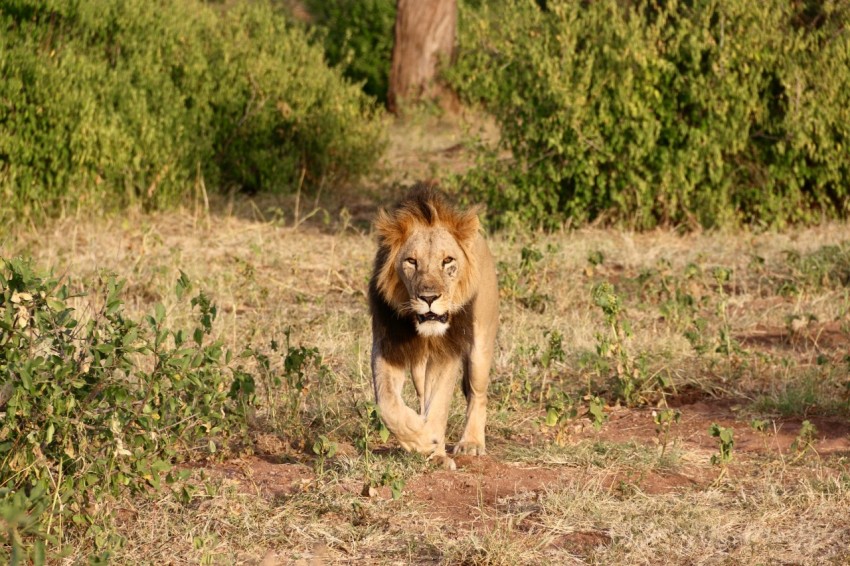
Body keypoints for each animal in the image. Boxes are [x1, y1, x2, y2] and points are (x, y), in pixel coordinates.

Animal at [370, 186, 500, 470]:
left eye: (447, 261)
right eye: (411, 261)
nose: (429, 298)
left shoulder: (446, 354)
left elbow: (439, 405)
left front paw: (435, 451)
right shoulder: (387, 348)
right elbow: (388, 404)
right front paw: (420, 439)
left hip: (480, 345)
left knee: (477, 393)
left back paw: (471, 443)